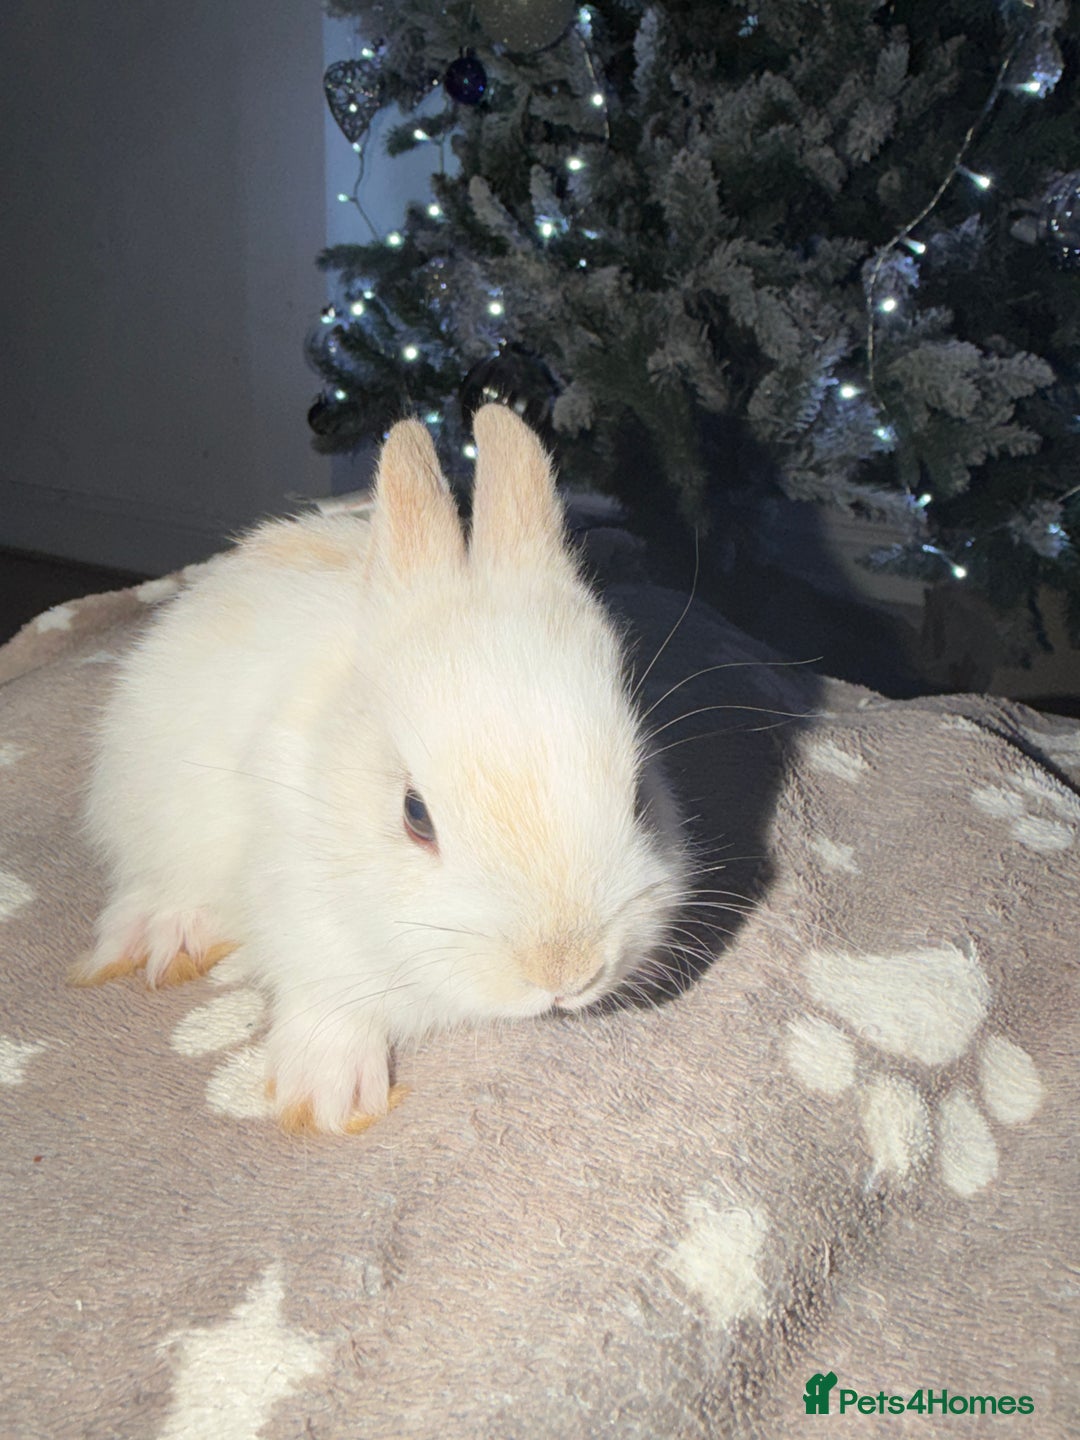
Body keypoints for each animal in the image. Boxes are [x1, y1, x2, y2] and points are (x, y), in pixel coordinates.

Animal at [74, 404, 689, 1134]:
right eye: (415, 815)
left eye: (638, 797)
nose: (563, 973)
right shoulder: (304, 909)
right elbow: (327, 995)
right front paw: (326, 1097)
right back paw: (165, 938)